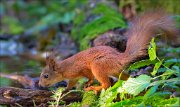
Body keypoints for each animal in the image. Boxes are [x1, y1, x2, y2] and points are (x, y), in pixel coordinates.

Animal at [38, 11, 177, 93]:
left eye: (46, 76)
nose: (39, 85)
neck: (63, 68)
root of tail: (120, 59)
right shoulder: (73, 77)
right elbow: (72, 83)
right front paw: (65, 88)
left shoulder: (79, 69)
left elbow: (88, 75)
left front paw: (87, 83)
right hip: (116, 71)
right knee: (125, 77)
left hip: (98, 65)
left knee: (106, 84)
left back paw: (95, 87)